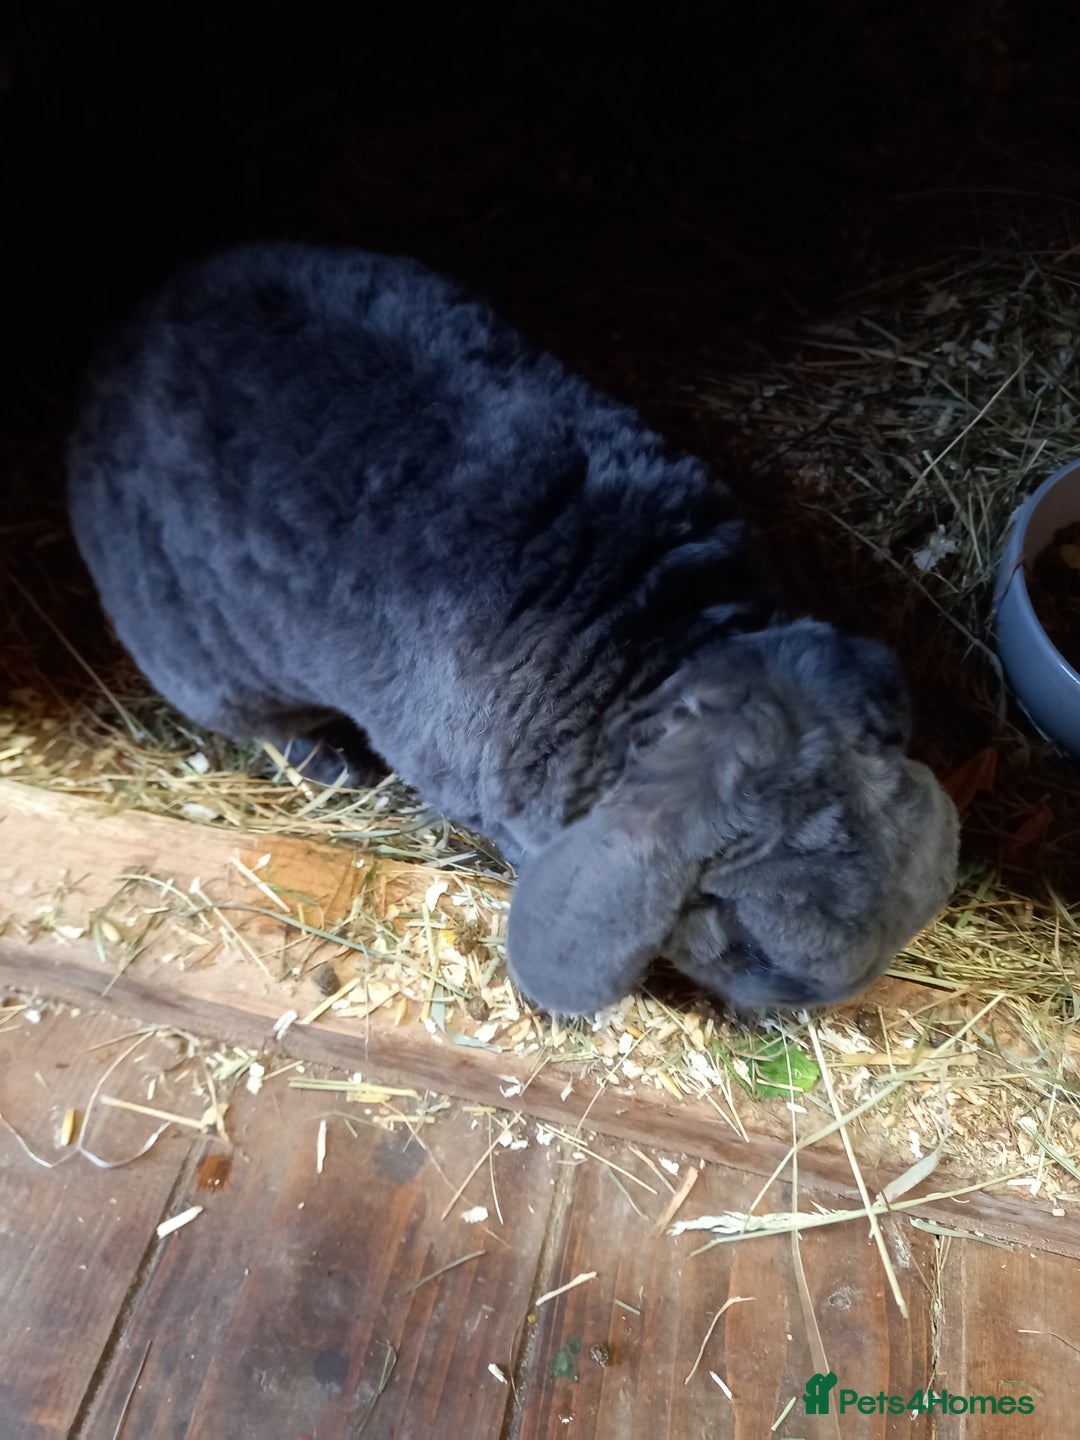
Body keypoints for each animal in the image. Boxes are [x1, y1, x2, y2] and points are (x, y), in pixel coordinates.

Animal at [67, 241, 959, 1016]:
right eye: (746, 934)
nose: (821, 1001)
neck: (651, 651)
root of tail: (120, 344)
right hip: (210, 668)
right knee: (270, 727)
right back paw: (336, 767)